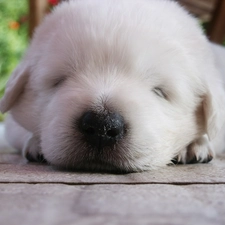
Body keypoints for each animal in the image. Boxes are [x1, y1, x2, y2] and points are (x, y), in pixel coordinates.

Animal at [0, 0, 225, 172]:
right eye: (59, 80)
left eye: (159, 91)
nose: (102, 126)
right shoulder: (12, 126)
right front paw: (35, 142)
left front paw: (194, 144)